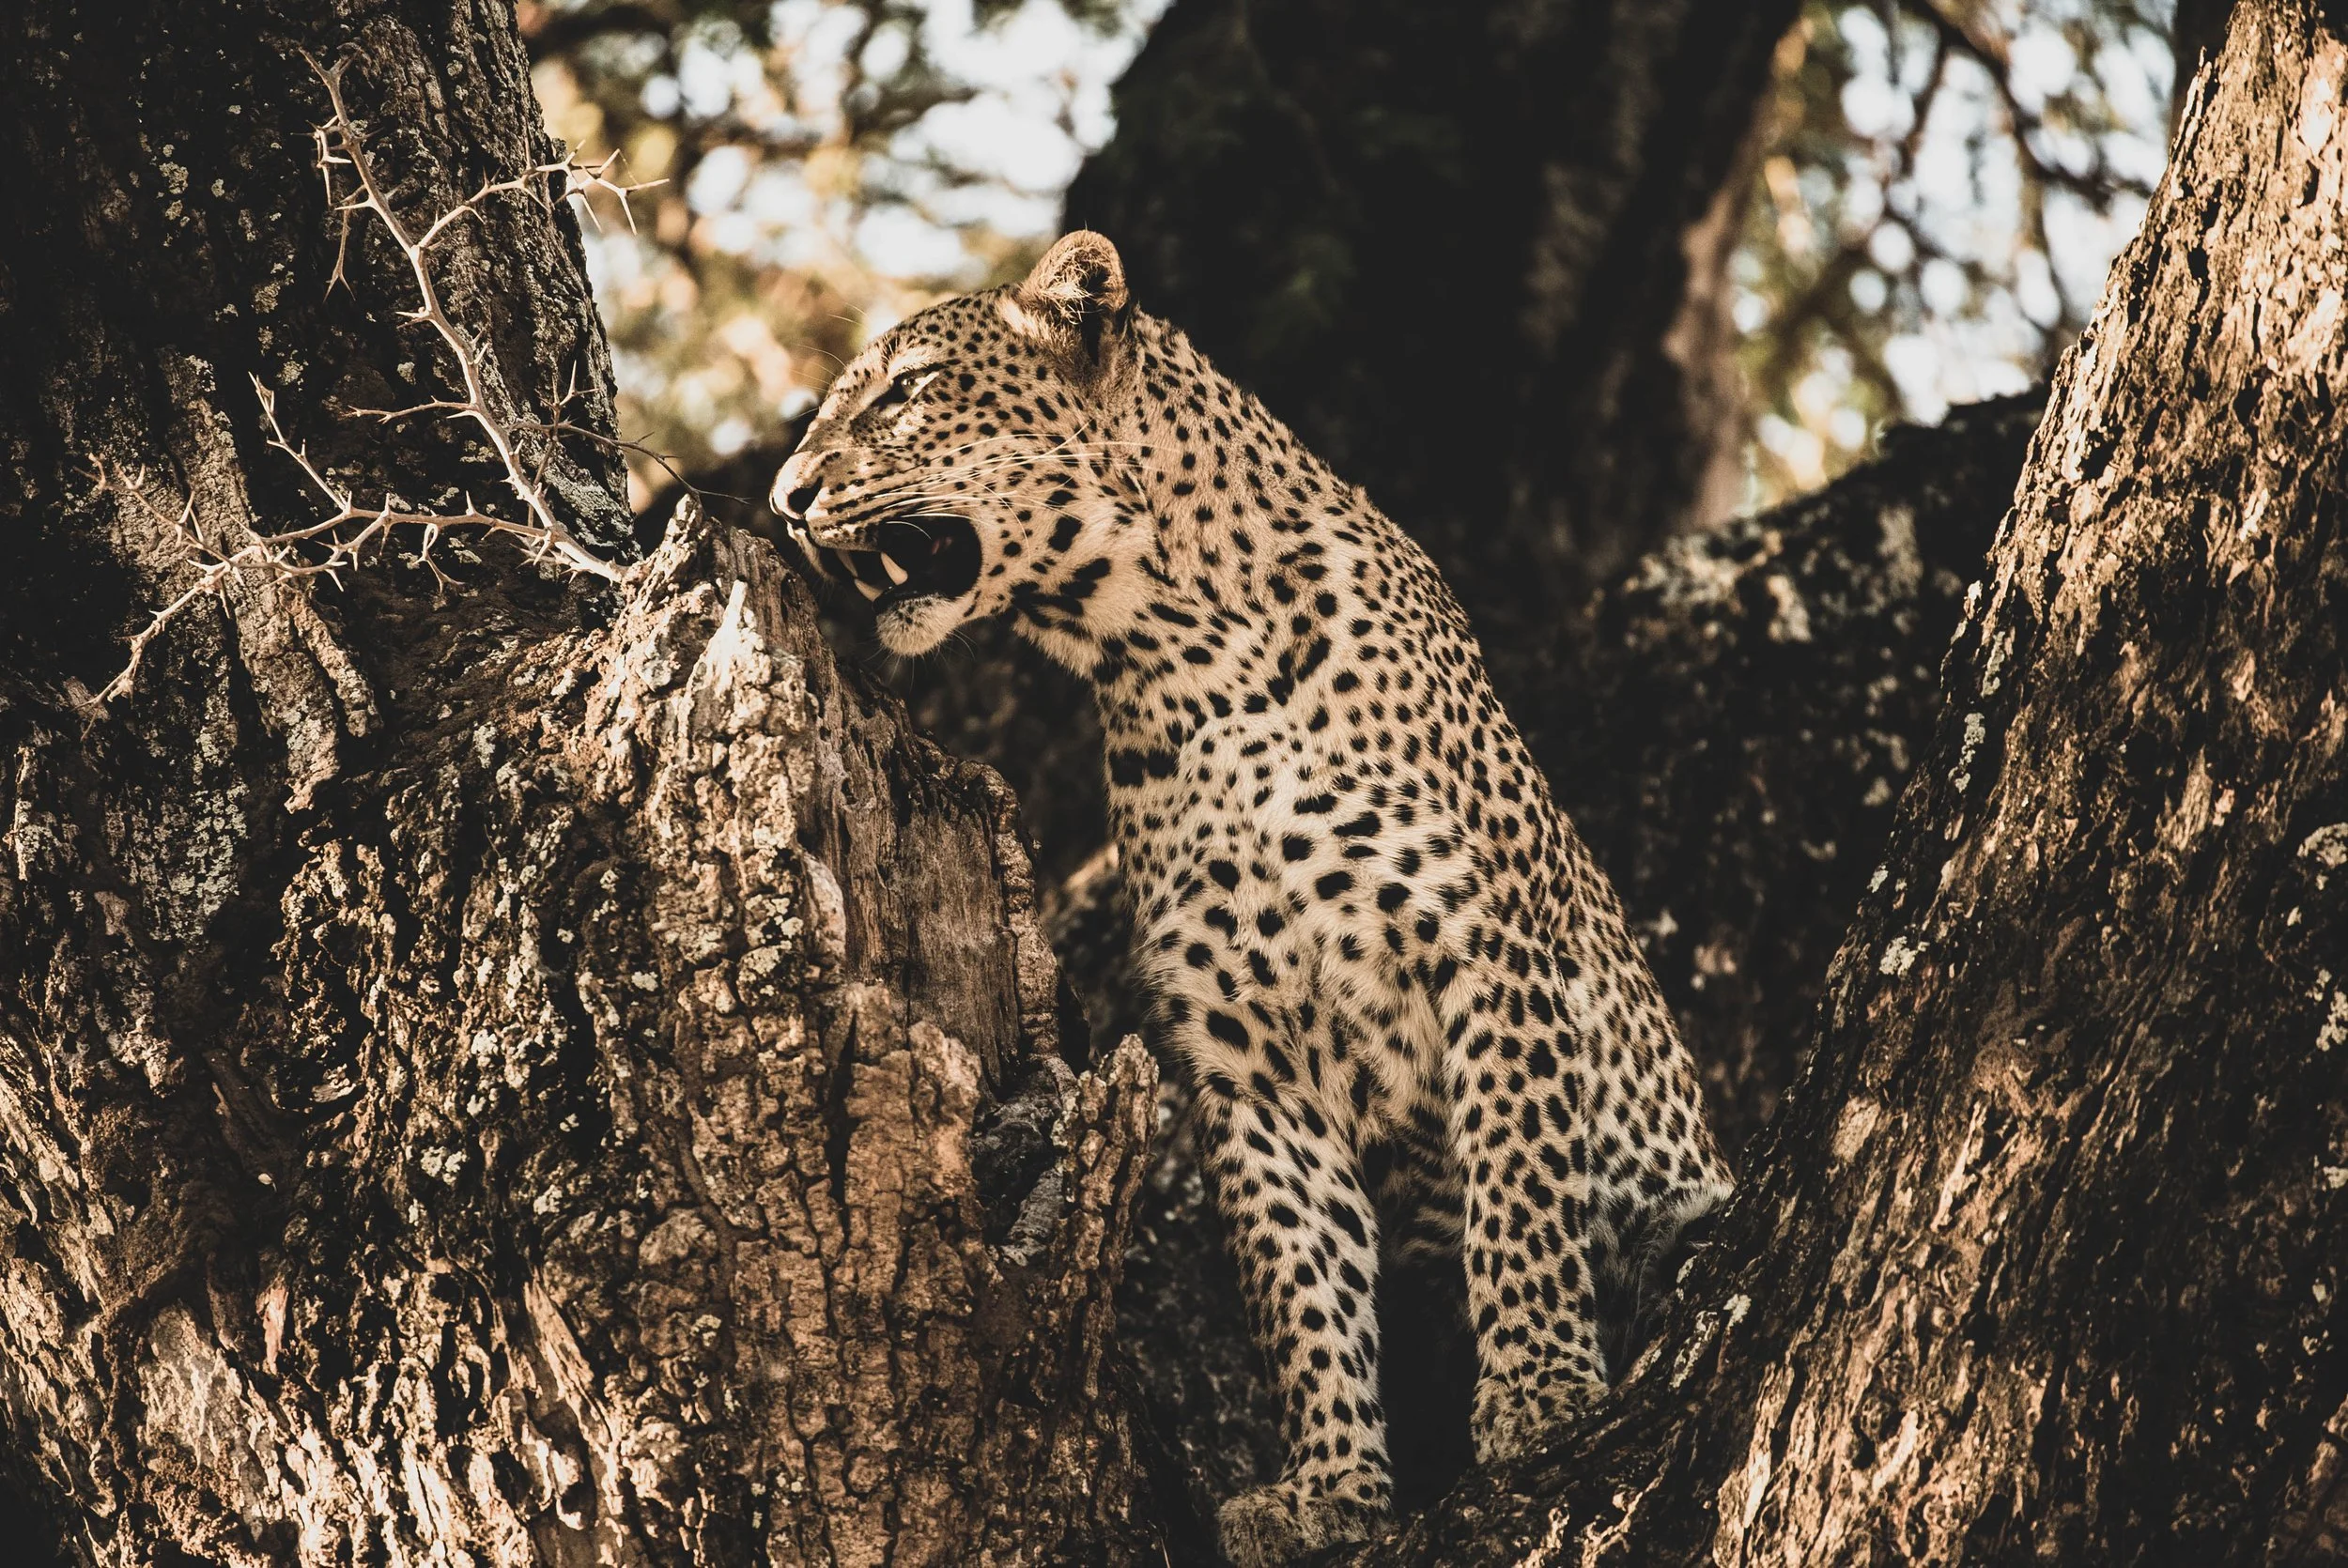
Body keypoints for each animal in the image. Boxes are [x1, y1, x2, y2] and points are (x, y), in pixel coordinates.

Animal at [772, 231, 1733, 1565]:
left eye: (903, 391)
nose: (784, 497)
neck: (1168, 649)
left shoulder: (1489, 939)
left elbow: (1517, 1179)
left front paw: (1540, 1391)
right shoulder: (1245, 1046)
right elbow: (1301, 1275)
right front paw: (1330, 1489)